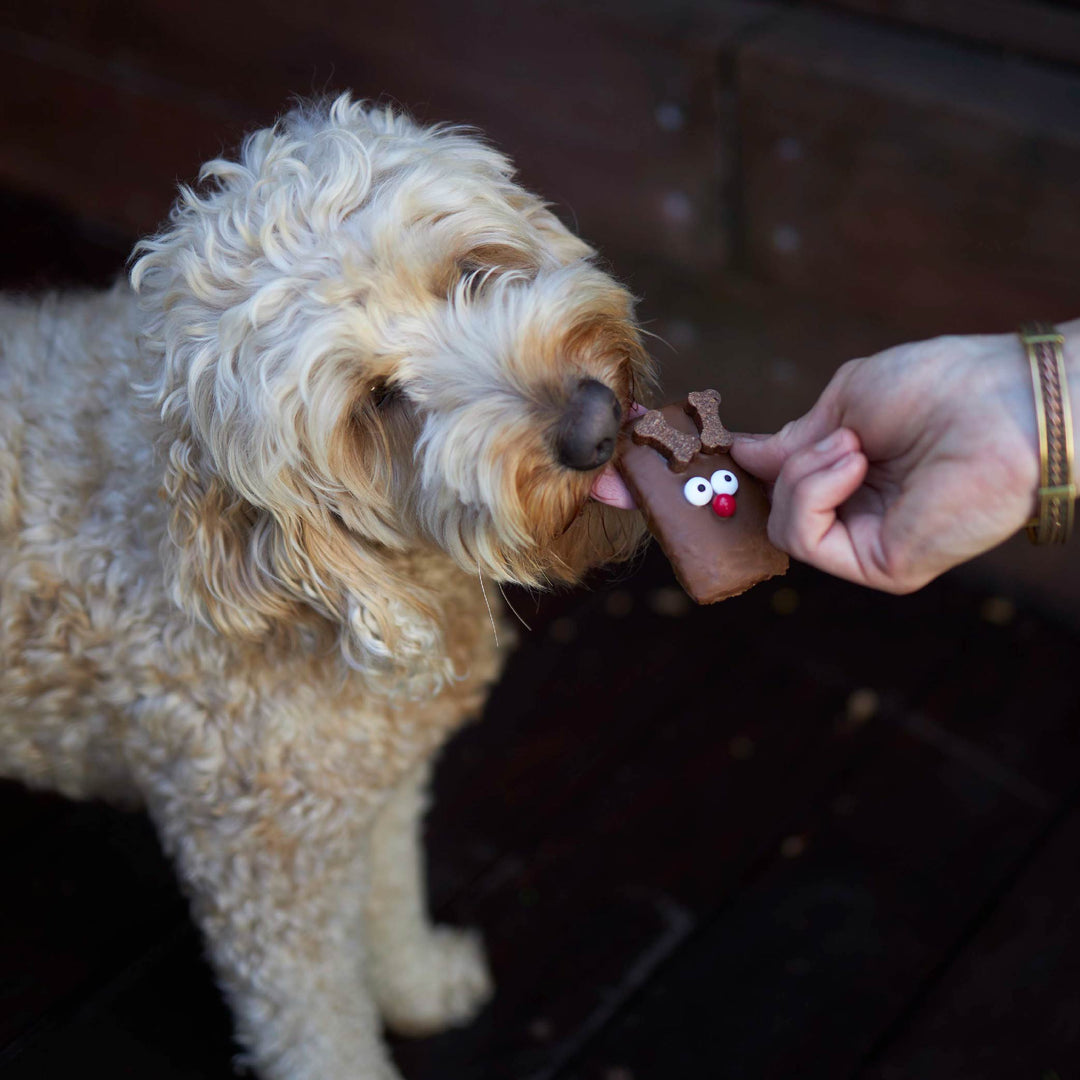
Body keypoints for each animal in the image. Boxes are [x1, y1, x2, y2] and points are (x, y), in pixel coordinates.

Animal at [0, 97, 648, 1075]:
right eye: (379, 401)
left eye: (468, 272)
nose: (593, 425)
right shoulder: (263, 859)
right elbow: (316, 1019)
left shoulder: (371, 789)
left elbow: (385, 902)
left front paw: (420, 987)